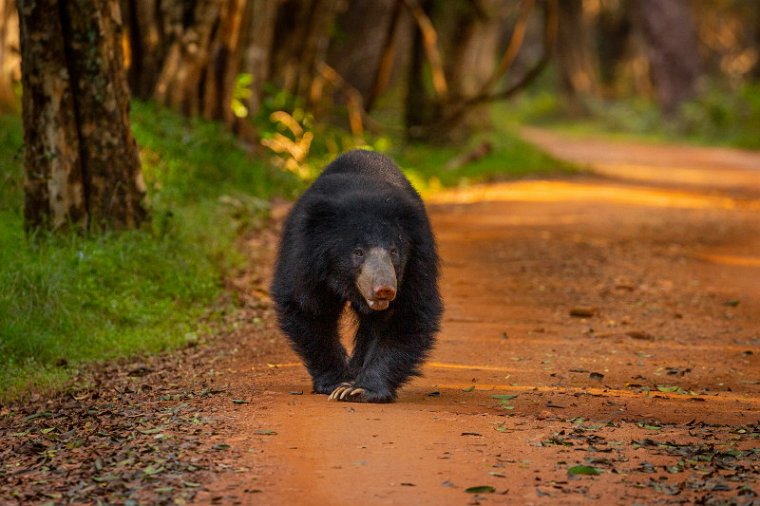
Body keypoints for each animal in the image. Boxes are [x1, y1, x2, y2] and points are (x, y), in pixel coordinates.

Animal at [270, 148, 442, 402]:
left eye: (394, 251)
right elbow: (307, 307)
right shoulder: (304, 256)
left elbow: (409, 310)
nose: (385, 289)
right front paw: (337, 382)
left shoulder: (417, 258)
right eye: (358, 252)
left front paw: (361, 388)